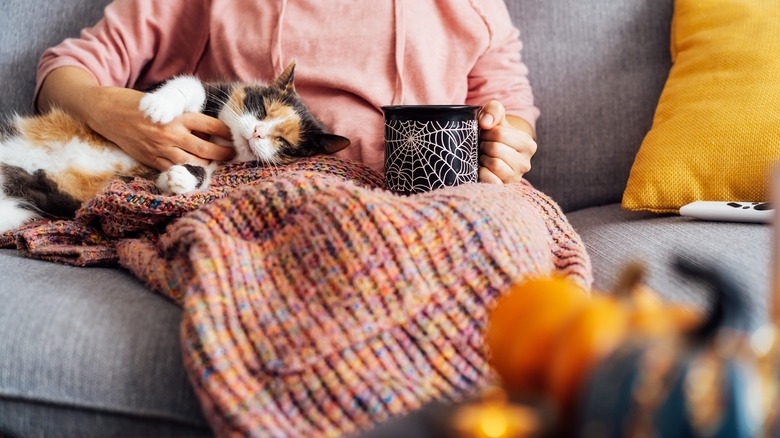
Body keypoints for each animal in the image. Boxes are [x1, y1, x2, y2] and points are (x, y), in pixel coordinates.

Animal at [0, 62, 350, 233]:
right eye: (262, 109)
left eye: (284, 142)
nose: (257, 132)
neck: (223, 138)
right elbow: (191, 85)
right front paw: (159, 106)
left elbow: (203, 171)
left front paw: (180, 178)